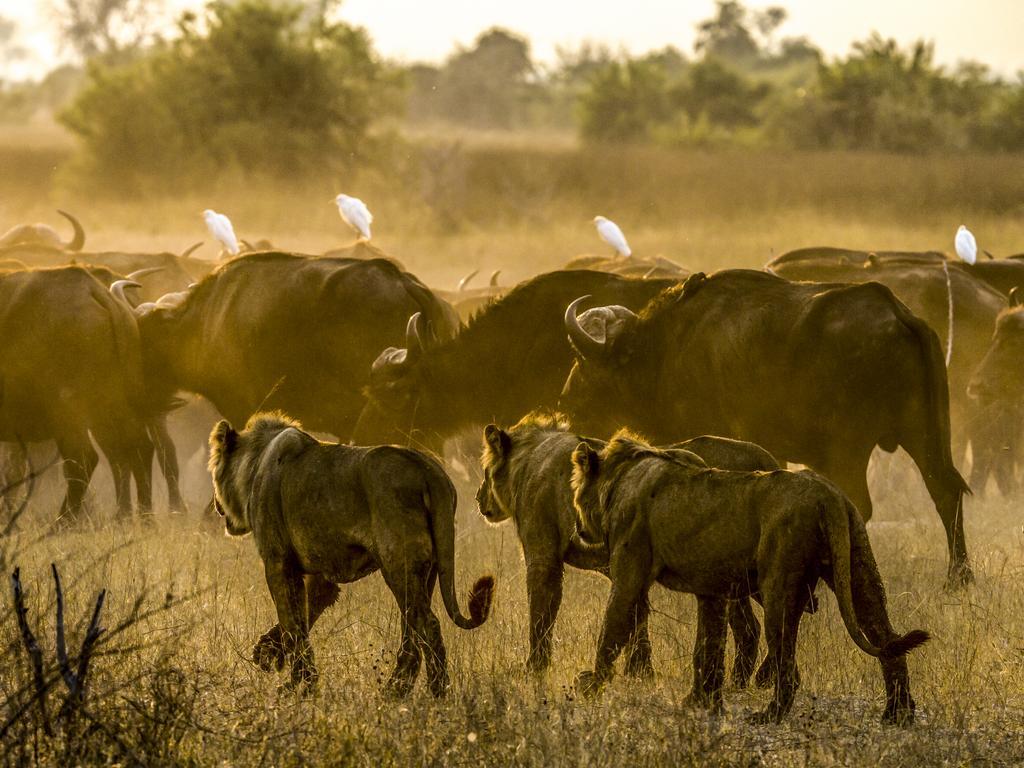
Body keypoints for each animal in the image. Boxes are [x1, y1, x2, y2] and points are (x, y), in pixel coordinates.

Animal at [208, 412, 494, 697]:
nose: (216, 506)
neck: (254, 463)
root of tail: (431, 473)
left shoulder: (277, 561)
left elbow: (292, 622)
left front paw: (296, 684)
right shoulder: (320, 576)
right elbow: (303, 618)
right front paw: (271, 654)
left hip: (398, 565)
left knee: (427, 624)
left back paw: (436, 690)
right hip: (430, 570)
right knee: (411, 630)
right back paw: (395, 690)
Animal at [477, 412, 779, 685]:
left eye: (484, 472)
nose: (478, 497)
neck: (528, 458)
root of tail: (766, 459)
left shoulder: (544, 557)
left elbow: (541, 613)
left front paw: (534, 669)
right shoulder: (626, 563)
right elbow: (637, 617)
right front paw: (641, 673)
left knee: (758, 623)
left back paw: (758, 678)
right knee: (753, 626)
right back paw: (745, 681)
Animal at [570, 431, 929, 725]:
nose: (578, 528)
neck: (621, 474)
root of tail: (829, 496)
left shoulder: (630, 574)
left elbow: (612, 627)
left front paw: (590, 685)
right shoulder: (712, 591)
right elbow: (708, 647)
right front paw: (700, 701)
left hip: (779, 586)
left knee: (788, 666)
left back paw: (768, 715)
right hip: (859, 570)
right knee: (887, 639)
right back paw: (898, 714)